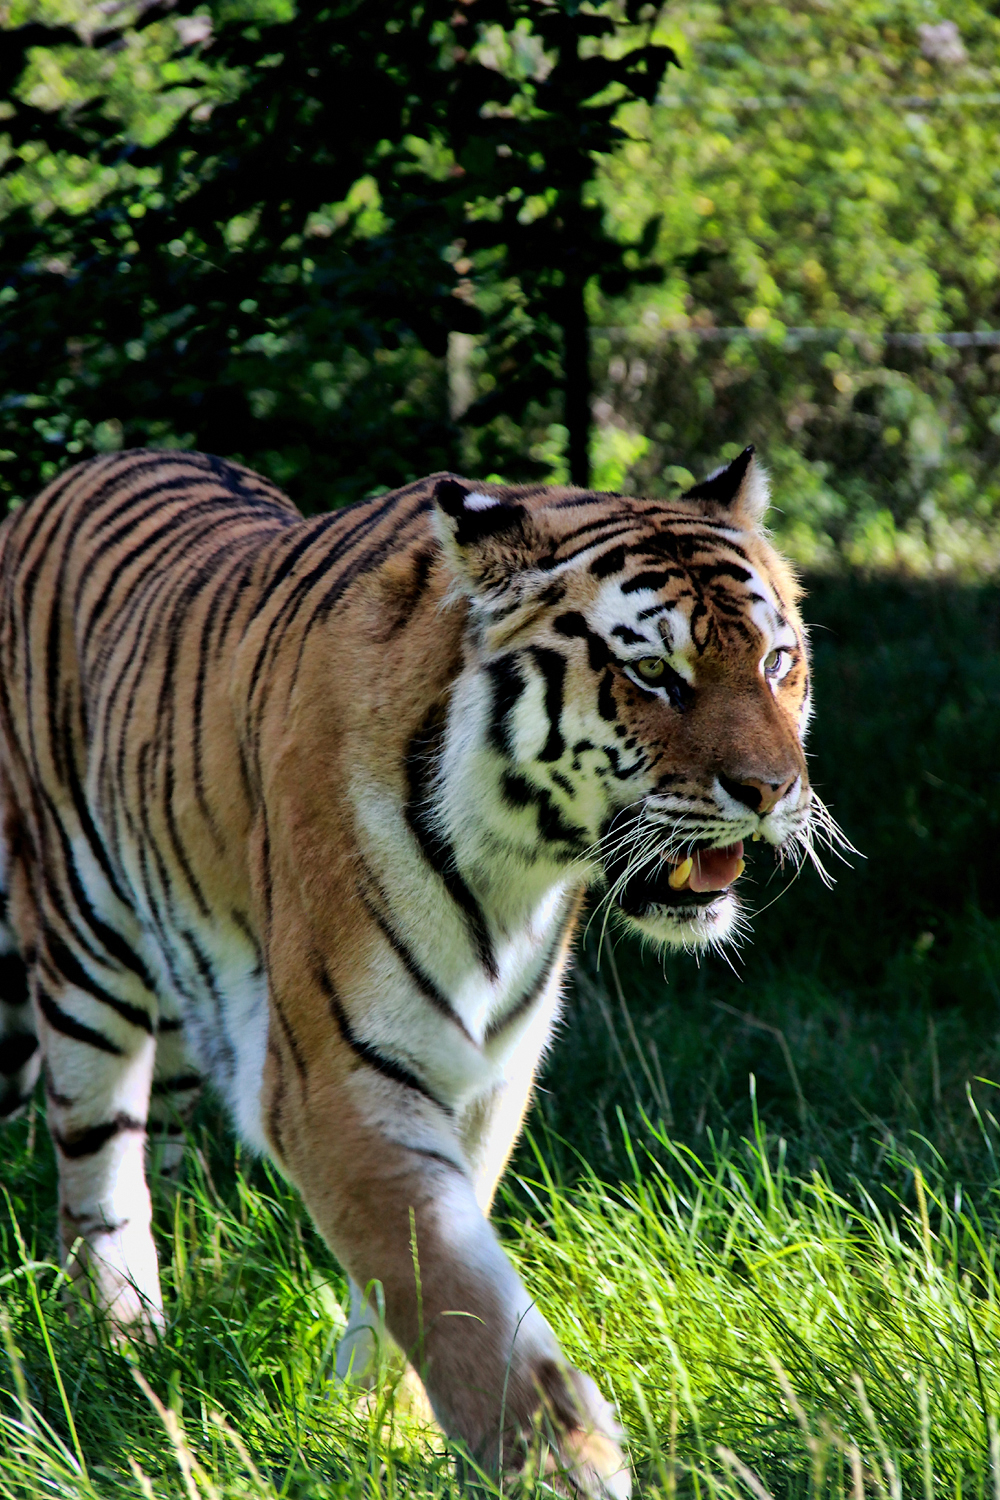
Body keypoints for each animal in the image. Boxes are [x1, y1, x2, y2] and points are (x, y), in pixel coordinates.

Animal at [0, 444, 827, 1500]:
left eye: (775, 662)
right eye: (653, 673)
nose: (772, 791)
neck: (517, 864)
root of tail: (84, 468)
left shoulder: (490, 1072)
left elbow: (419, 1262)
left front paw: (376, 1424)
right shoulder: (336, 1075)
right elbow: (438, 1266)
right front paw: (560, 1460)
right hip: (80, 947)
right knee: (96, 1168)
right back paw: (118, 1334)